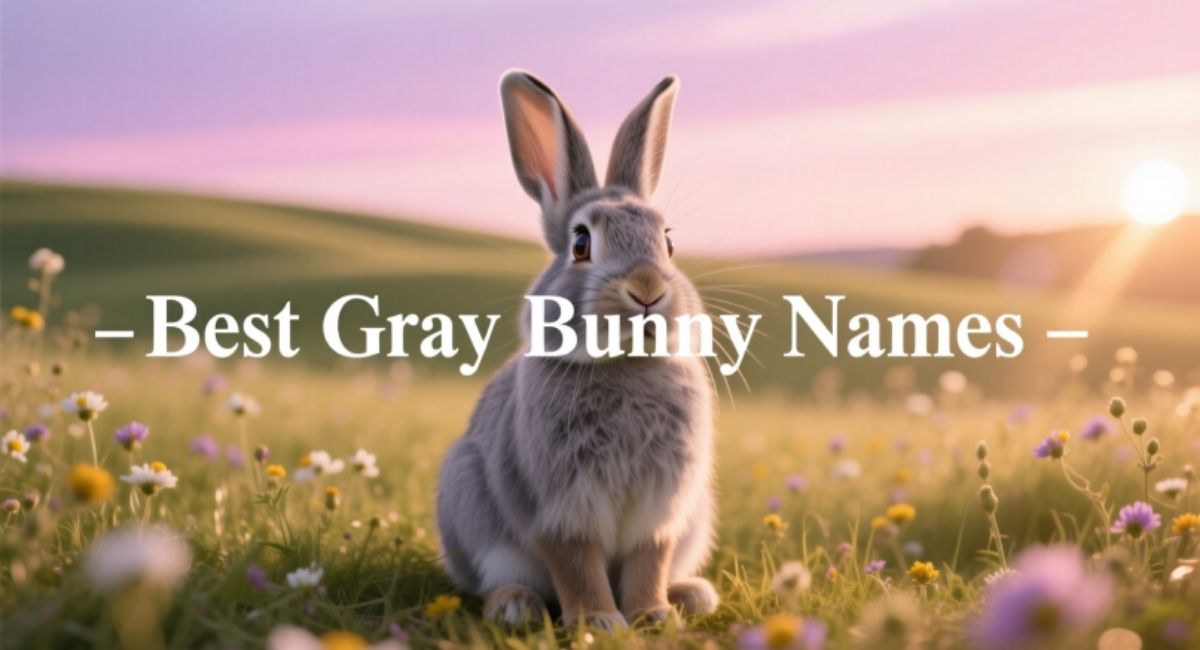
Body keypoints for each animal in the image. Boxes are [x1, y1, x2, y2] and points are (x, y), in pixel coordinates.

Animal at [436, 69, 718, 630]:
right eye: (581, 244)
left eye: (668, 243)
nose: (648, 289)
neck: (625, 365)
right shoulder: (557, 508)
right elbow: (575, 564)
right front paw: (599, 621)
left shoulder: (661, 511)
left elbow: (649, 561)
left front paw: (652, 614)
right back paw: (514, 605)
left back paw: (691, 594)